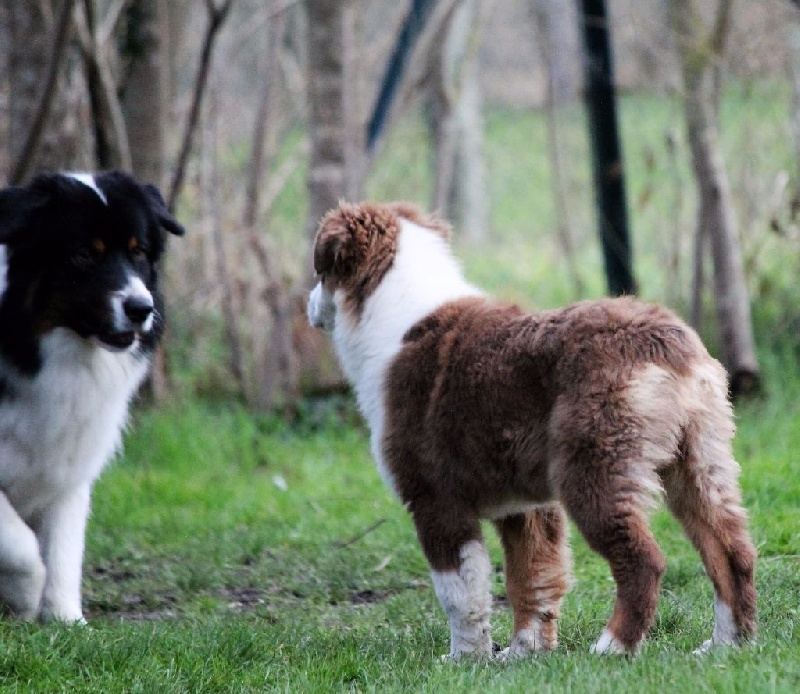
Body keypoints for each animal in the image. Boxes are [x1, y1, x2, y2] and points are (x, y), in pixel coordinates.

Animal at [0, 171, 183, 624]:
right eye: (84, 254)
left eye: (138, 252)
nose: (142, 308)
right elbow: (20, 544)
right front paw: (25, 598)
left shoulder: (68, 458)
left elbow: (64, 547)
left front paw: (65, 620)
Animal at [306, 203, 756, 664]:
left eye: (320, 271)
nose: (309, 306)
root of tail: (667, 345)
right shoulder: (525, 507)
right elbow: (531, 577)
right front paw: (524, 653)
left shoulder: (434, 499)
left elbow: (460, 592)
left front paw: (464, 659)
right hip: (698, 458)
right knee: (731, 551)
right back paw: (726, 644)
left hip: (594, 469)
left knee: (644, 559)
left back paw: (612, 647)